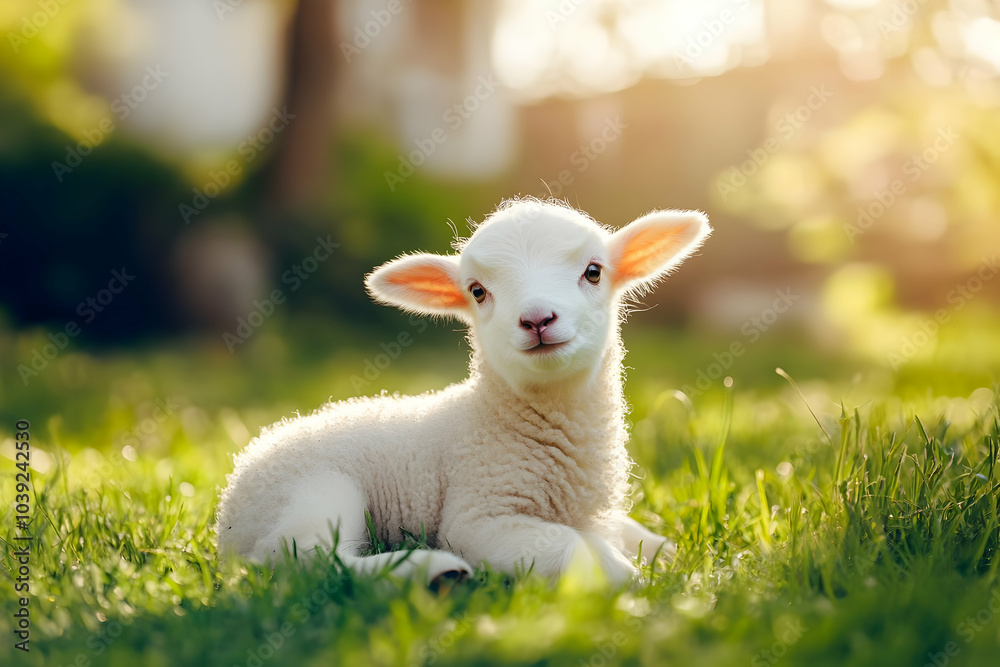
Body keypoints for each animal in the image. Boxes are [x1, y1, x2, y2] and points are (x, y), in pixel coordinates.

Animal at [215, 198, 711, 585]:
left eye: (594, 272)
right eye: (477, 291)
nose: (537, 319)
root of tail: (229, 506)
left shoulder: (595, 513)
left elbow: (642, 538)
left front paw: (673, 555)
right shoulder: (479, 517)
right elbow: (588, 556)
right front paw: (638, 578)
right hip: (314, 493)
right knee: (307, 560)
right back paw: (432, 572)